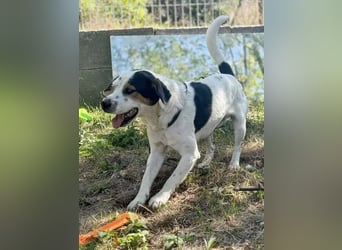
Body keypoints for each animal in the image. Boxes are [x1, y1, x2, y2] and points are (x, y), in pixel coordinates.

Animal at [100, 16, 247, 209]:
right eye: (114, 87)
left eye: (130, 90)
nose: (104, 103)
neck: (161, 118)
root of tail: (229, 76)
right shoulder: (156, 152)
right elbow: (146, 178)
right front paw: (138, 199)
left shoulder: (190, 155)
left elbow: (172, 179)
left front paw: (160, 197)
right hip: (207, 129)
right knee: (212, 146)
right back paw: (206, 162)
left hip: (240, 125)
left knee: (237, 146)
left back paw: (234, 164)